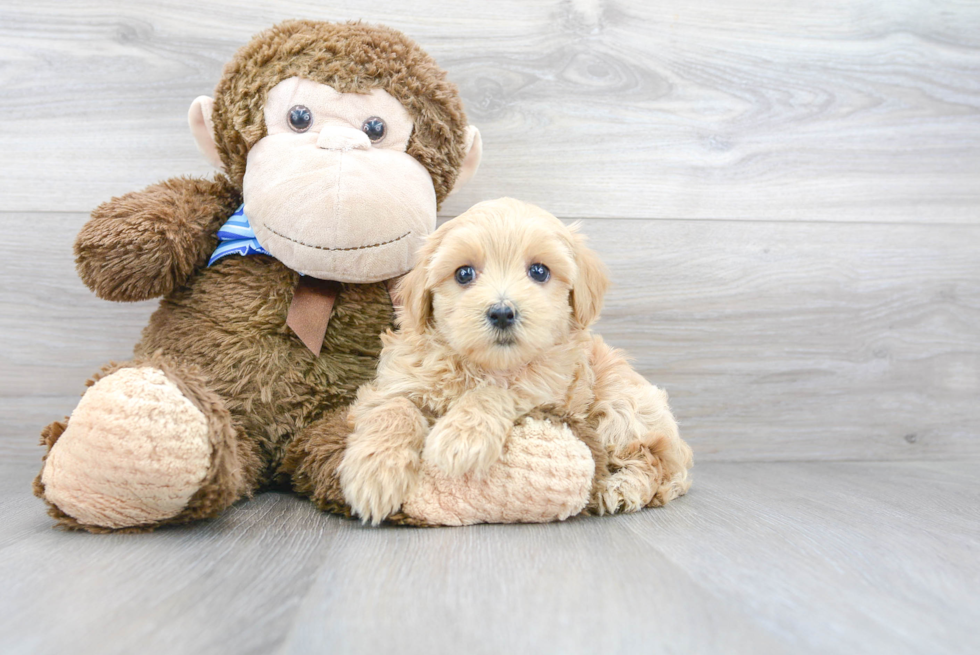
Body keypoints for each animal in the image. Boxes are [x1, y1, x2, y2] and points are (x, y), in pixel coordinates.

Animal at [340, 197, 692, 524]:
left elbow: (496, 392)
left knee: (651, 460)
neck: (485, 365)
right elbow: (394, 407)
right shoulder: (391, 383)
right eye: (464, 274)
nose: (502, 312)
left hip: (622, 407)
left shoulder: (548, 394)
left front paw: (461, 437)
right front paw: (376, 472)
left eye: (539, 271)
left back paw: (621, 488)